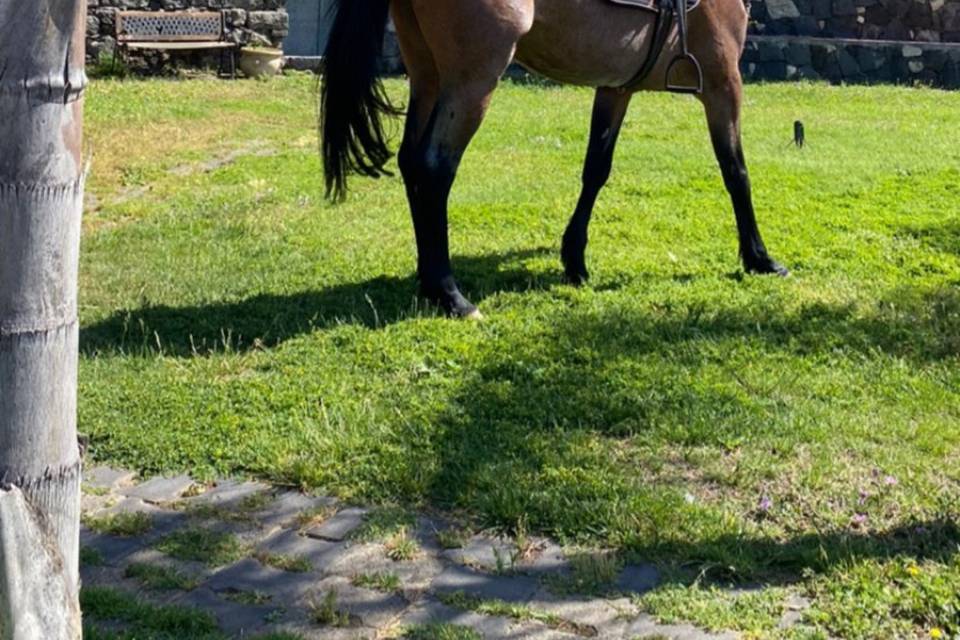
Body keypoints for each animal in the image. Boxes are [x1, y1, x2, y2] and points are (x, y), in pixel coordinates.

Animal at [322, 0, 788, 318]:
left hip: (427, 73)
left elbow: (596, 169)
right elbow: (736, 172)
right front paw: (759, 257)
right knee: (434, 169)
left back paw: (428, 281)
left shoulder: (616, 87)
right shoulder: (724, 83)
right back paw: (449, 293)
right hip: (471, 82)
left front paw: (574, 258)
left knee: (410, 163)